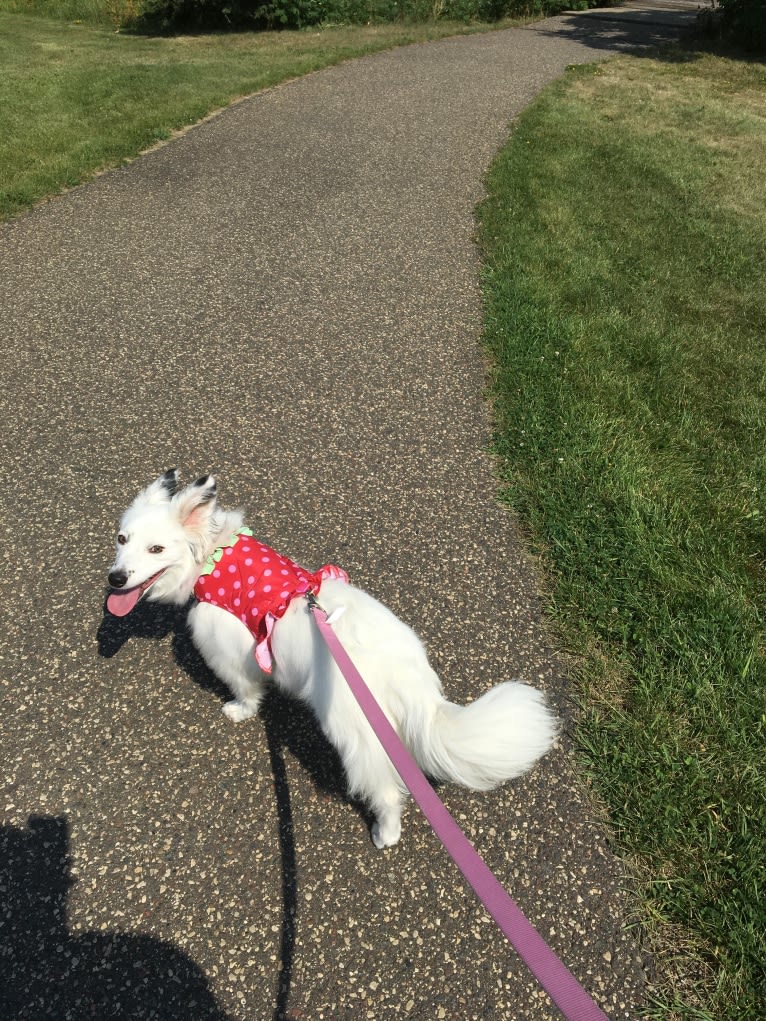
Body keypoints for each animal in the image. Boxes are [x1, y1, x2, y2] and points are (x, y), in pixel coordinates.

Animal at [108, 469, 559, 845]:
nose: (115, 578)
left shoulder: (230, 652)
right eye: (121, 540)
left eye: (156, 548)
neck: (215, 556)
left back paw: (385, 834)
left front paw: (239, 710)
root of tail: (412, 682)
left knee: (387, 792)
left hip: (356, 738)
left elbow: (247, 689)